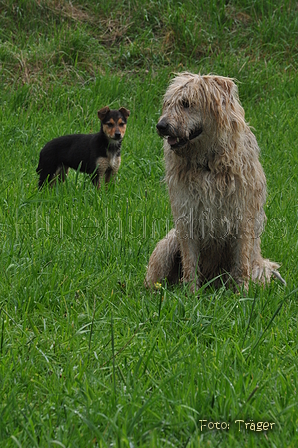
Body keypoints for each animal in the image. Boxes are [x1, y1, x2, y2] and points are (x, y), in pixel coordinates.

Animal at [146, 72, 286, 290]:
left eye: (186, 103)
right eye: (168, 103)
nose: (161, 126)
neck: (208, 163)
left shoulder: (242, 217)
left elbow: (242, 263)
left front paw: (241, 294)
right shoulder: (187, 217)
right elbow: (190, 262)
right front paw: (191, 294)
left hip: (260, 268)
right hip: (167, 245)